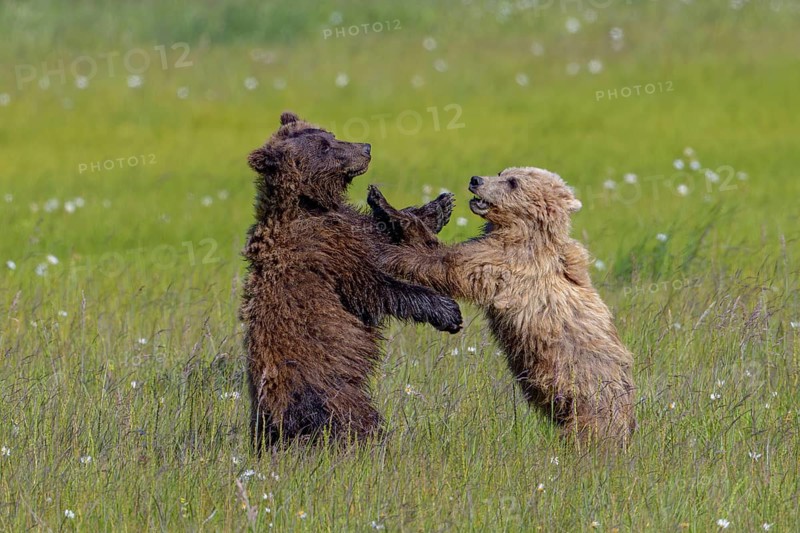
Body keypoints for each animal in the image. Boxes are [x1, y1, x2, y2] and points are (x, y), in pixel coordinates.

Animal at [240, 111, 462, 453]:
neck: (308, 203)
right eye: (324, 146)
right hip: (329, 392)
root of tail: (276, 422)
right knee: (356, 418)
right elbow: (374, 287)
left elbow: (376, 234)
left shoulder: (343, 227)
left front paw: (436, 206)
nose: (366, 147)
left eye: (331, 135)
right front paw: (447, 311)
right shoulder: (327, 249)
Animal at [367, 167, 637, 447]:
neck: (520, 231)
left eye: (513, 182)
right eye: (502, 172)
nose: (476, 180)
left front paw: (387, 246)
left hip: (590, 399)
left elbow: (446, 262)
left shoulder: (508, 263)